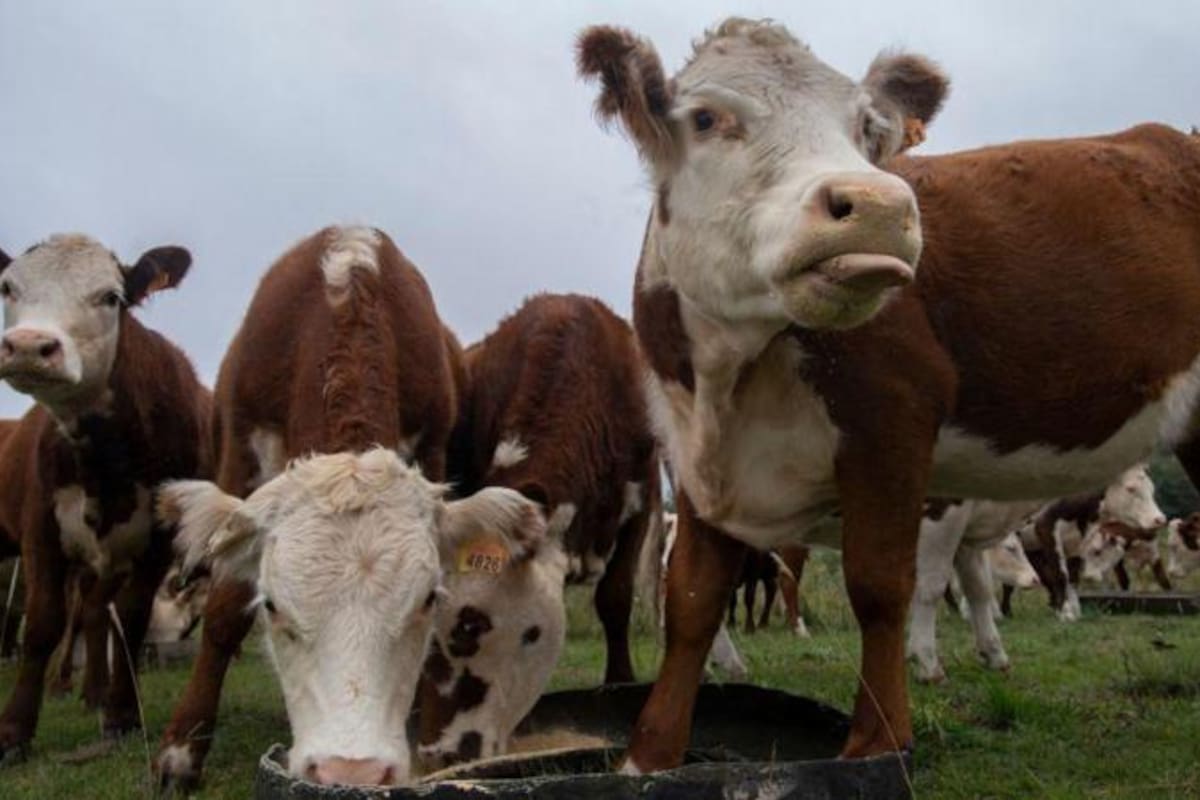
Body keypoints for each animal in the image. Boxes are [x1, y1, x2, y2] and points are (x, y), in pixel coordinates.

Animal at [0, 235, 211, 760]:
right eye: (7, 287)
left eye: (110, 297)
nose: (29, 347)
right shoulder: (40, 528)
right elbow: (41, 624)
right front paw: (13, 731)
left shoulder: (158, 538)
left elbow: (131, 619)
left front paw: (121, 715)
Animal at [153, 225, 526, 789]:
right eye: (271, 606)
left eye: (428, 600)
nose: (352, 771)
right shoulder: (241, 455)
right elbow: (223, 611)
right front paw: (182, 750)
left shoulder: (433, 448)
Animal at [579, 15, 1200, 770]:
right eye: (705, 118)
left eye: (865, 127)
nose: (878, 206)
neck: (733, 374)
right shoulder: (696, 456)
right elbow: (692, 598)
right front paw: (651, 754)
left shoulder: (894, 429)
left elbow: (884, 587)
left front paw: (879, 740)